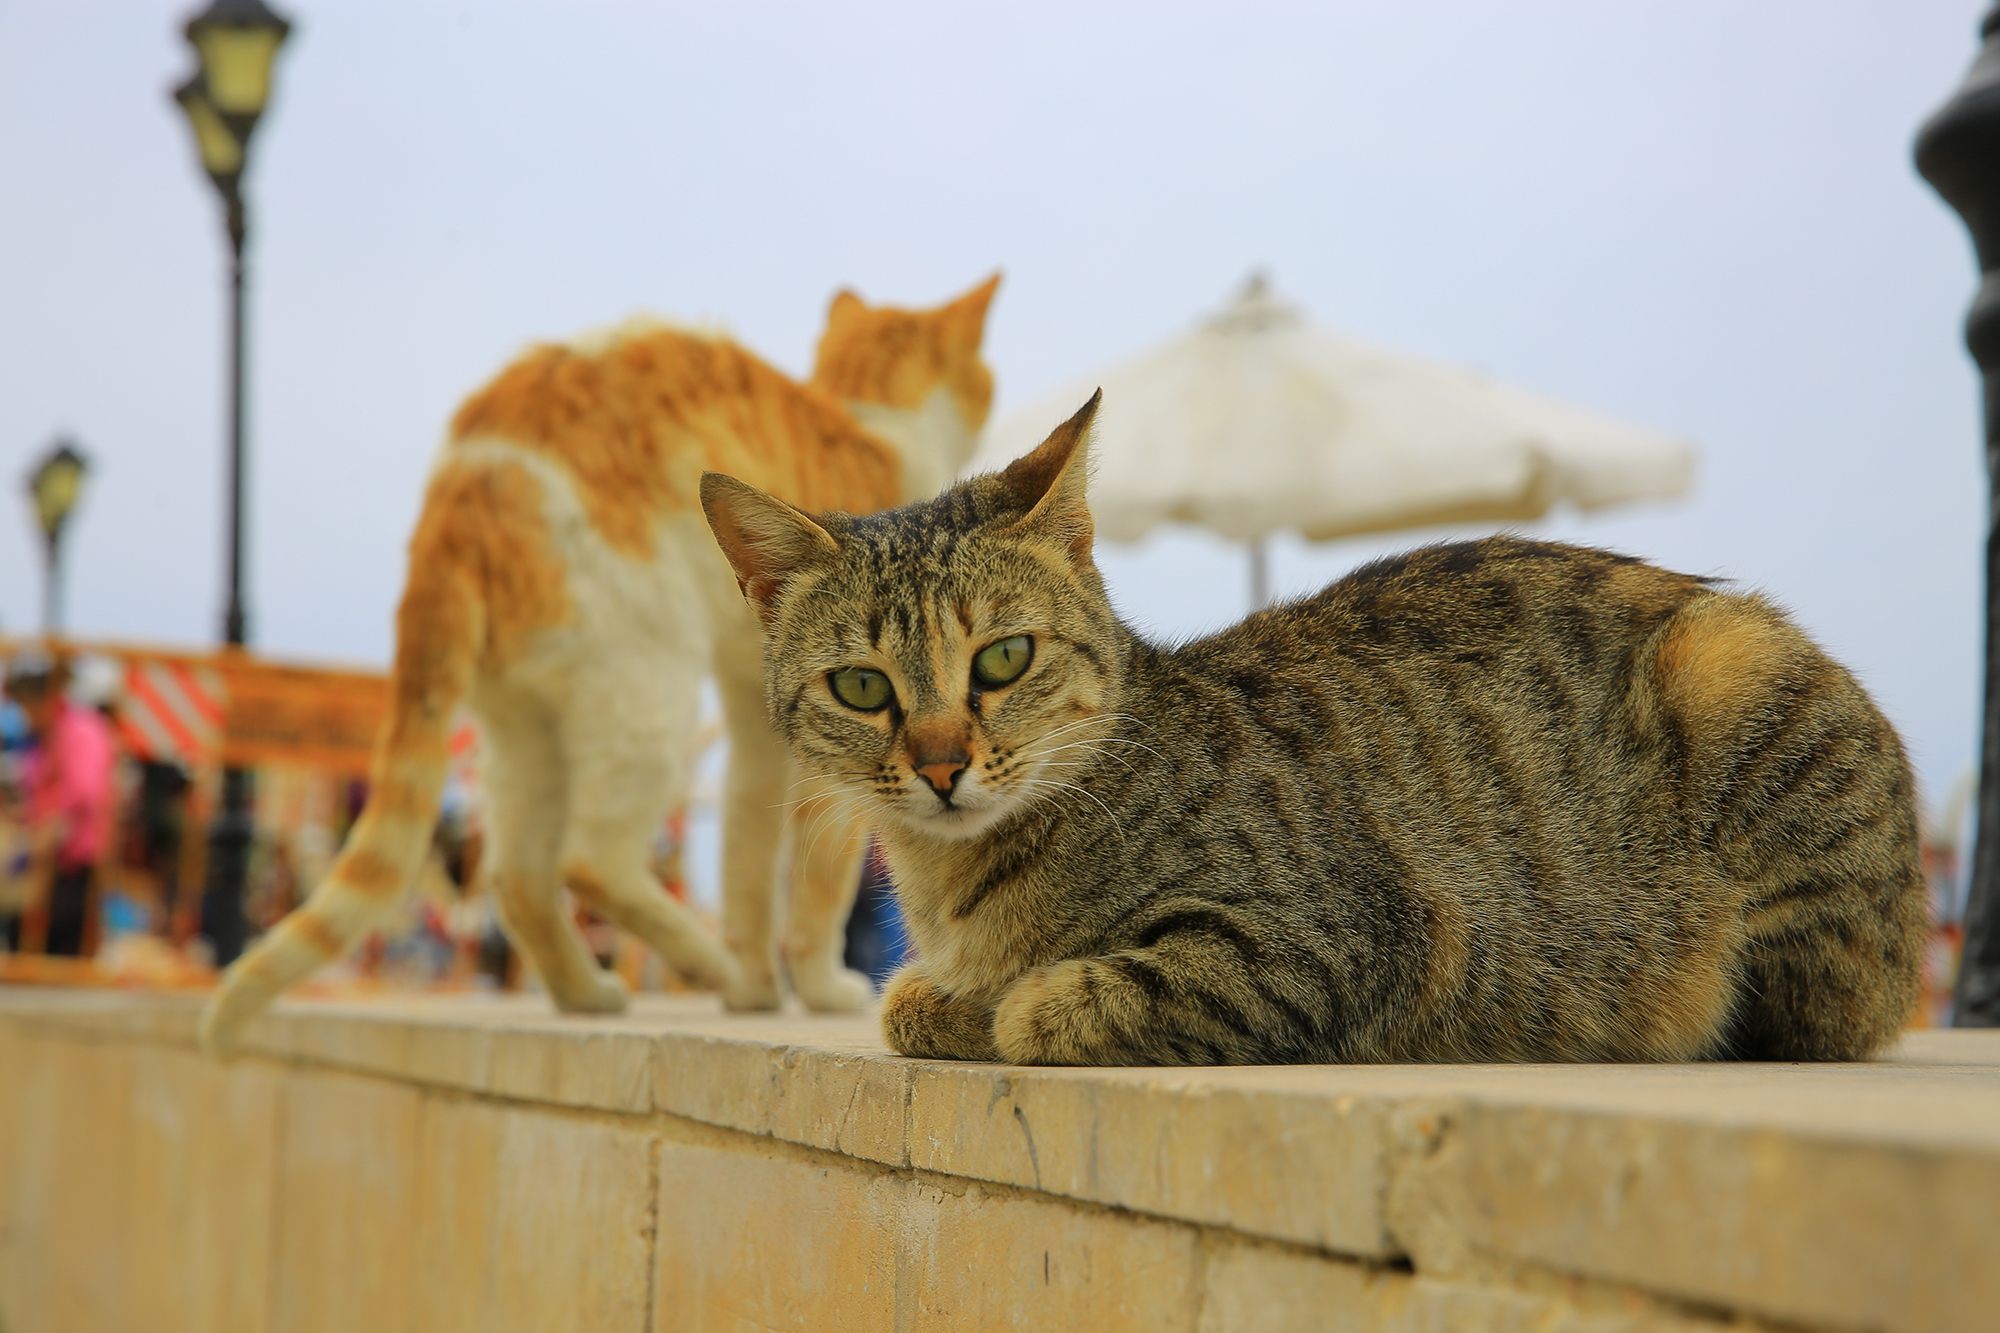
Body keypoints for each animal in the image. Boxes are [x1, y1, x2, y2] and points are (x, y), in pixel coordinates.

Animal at [203, 274, 1000, 1056]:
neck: (871, 416)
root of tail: (460, 492)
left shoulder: (758, 704)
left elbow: (745, 849)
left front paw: (759, 990)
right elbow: (821, 874)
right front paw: (816, 986)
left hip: (528, 731)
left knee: (518, 876)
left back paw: (597, 991)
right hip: (646, 695)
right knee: (589, 859)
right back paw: (708, 964)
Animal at [704, 392, 1920, 1056]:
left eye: (1003, 658)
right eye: (863, 687)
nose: (942, 763)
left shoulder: (1346, 933)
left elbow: (1060, 1003)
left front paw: (1015, 999)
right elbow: (911, 999)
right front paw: (958, 995)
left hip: (1730, 678)